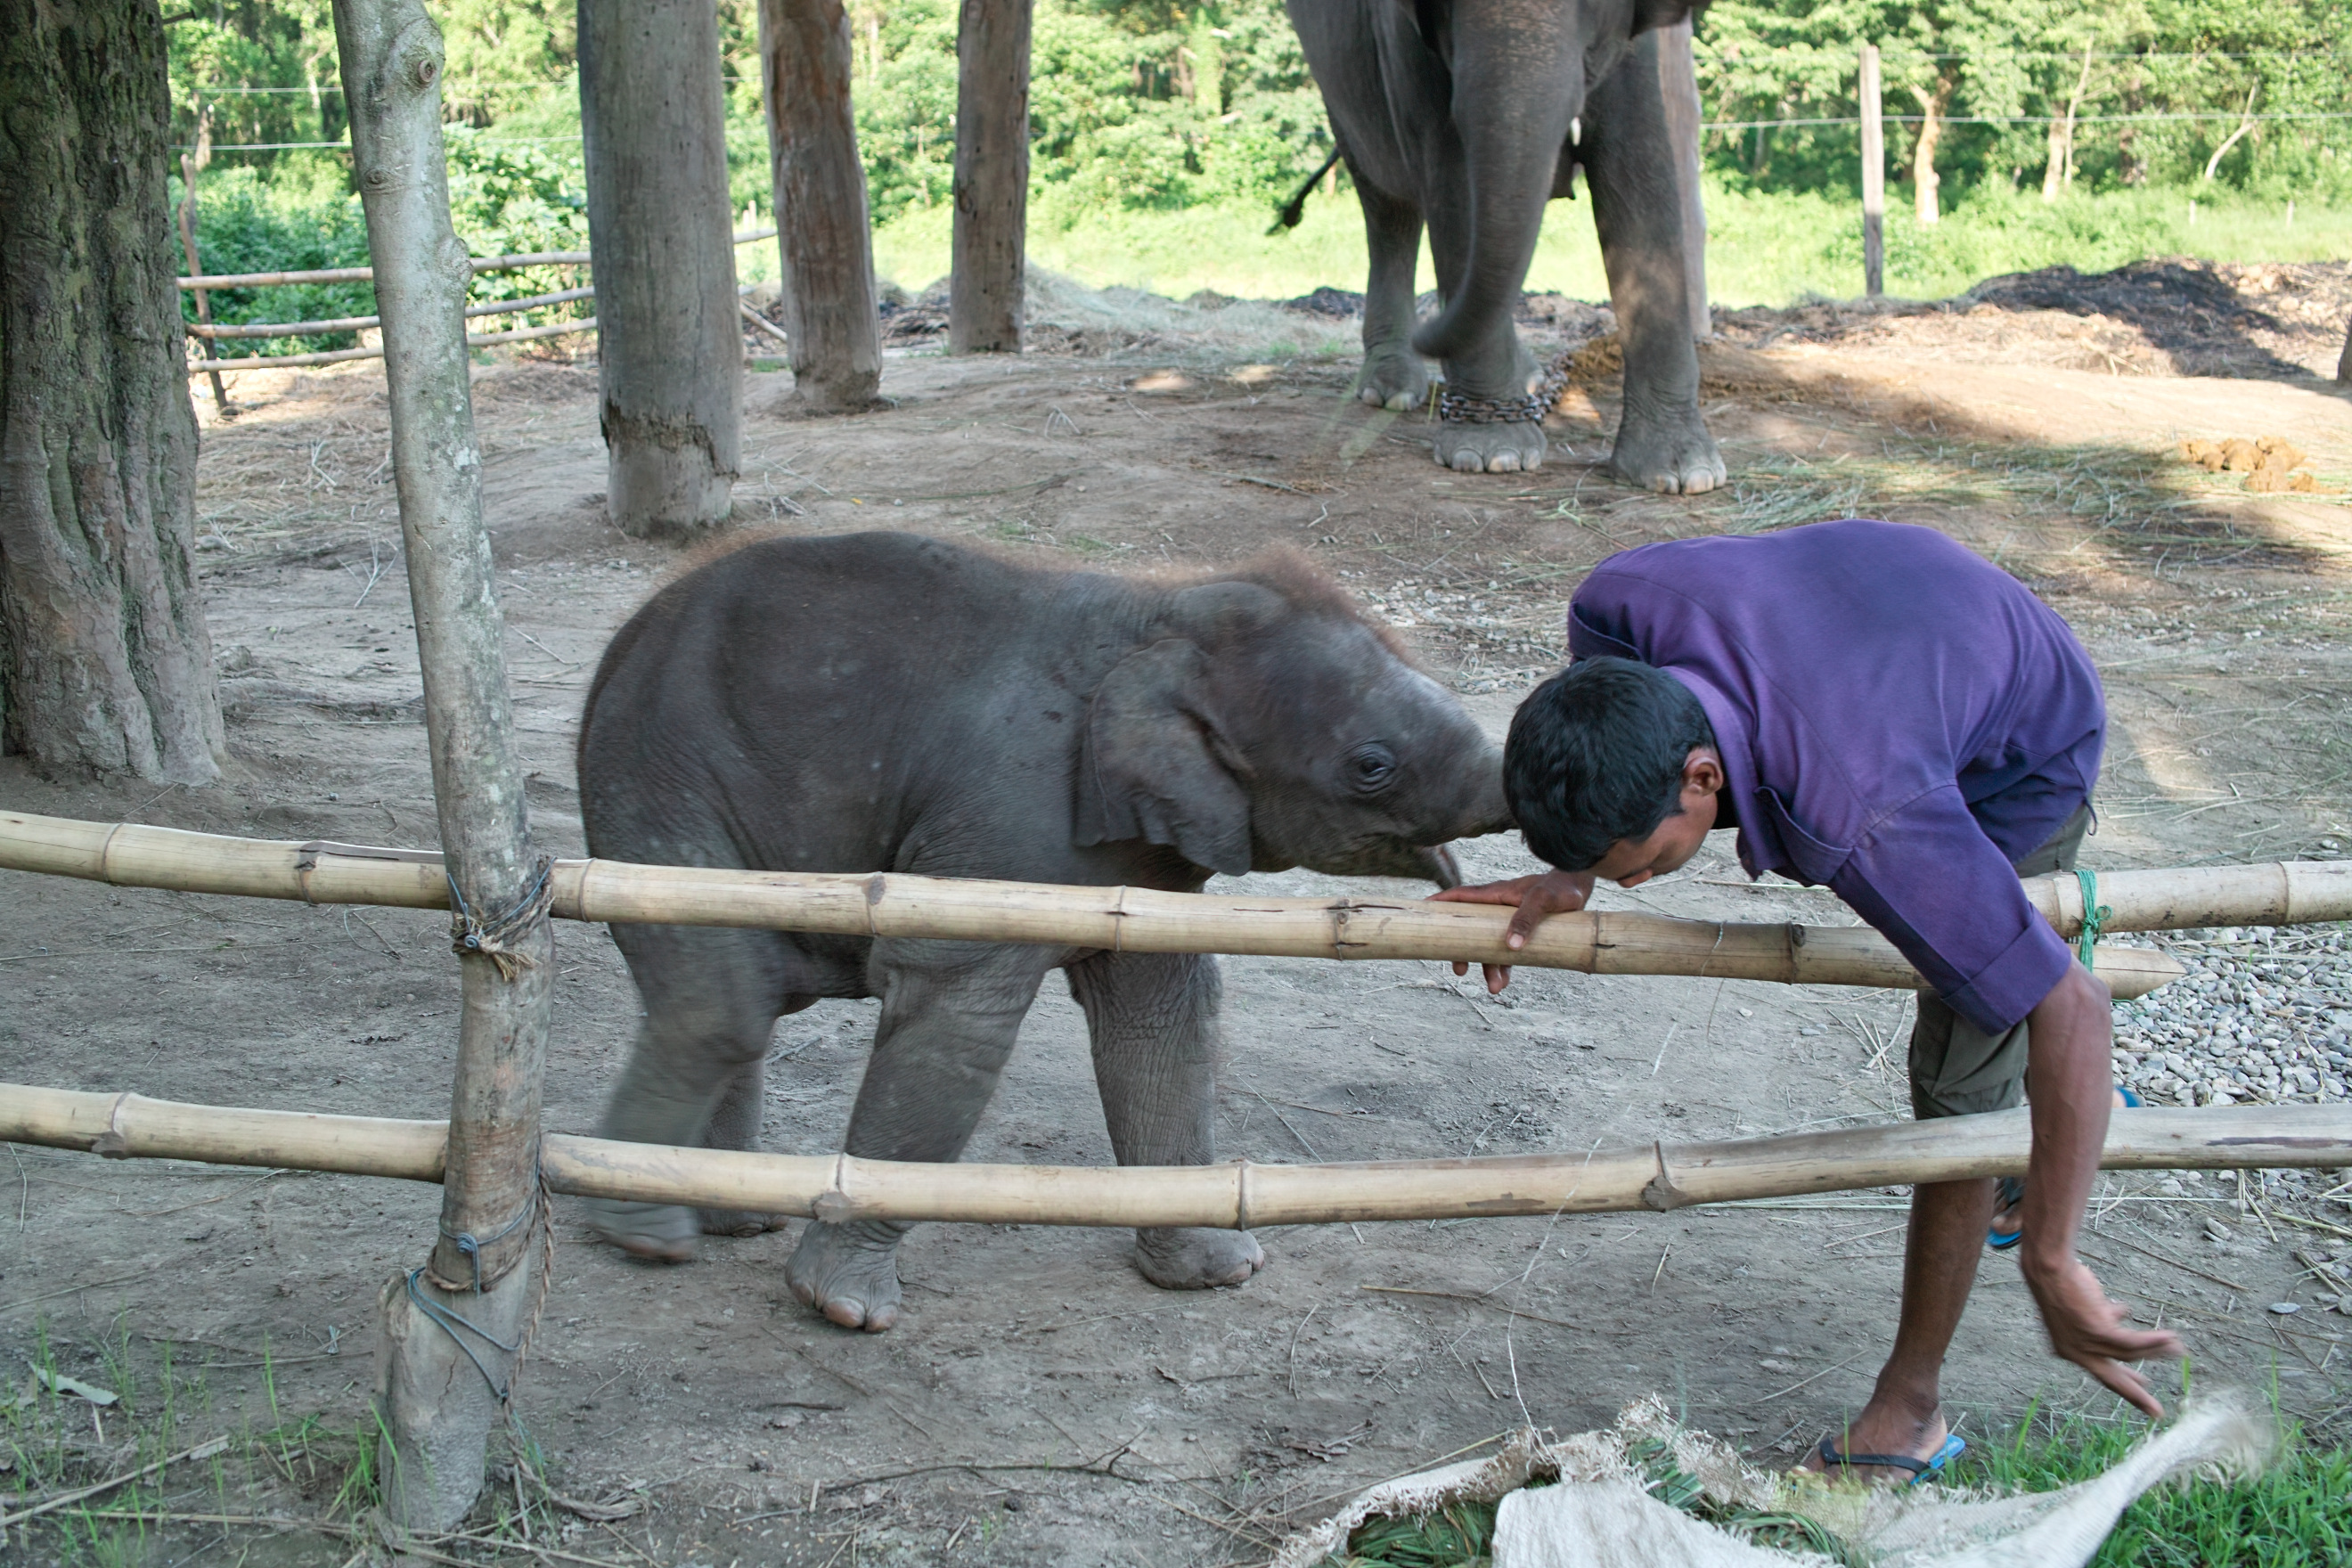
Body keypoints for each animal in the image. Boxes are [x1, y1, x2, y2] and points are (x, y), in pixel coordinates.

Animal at [575, 532, 1513, 1331]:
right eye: (1371, 765)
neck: (1164, 607)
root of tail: (623, 643)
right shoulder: (1005, 814)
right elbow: (958, 1014)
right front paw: (842, 1310)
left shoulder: (1147, 858)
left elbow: (1164, 1018)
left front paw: (1219, 1274)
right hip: (655, 778)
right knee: (723, 1006)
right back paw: (646, 1235)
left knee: (744, 997)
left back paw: (729, 1223)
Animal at [1287, 0, 1726, 490]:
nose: (1431, 327)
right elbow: (1453, 186)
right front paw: (1492, 456)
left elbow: (1639, 170)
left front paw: (1685, 475)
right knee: (1387, 204)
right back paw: (1394, 390)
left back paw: (1528, 380)